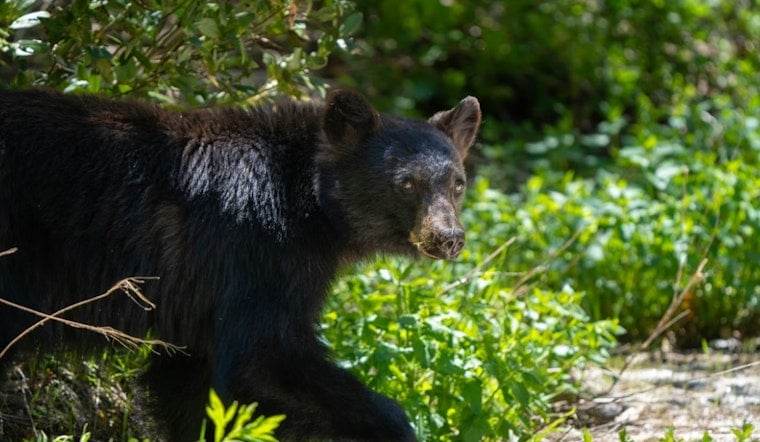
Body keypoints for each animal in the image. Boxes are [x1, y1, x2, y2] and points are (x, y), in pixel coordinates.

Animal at [0, 88, 481, 441]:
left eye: (457, 183)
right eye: (406, 184)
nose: (449, 238)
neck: (309, 204)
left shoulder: (202, 299)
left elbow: (190, 382)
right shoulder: (256, 253)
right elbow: (262, 359)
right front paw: (393, 426)